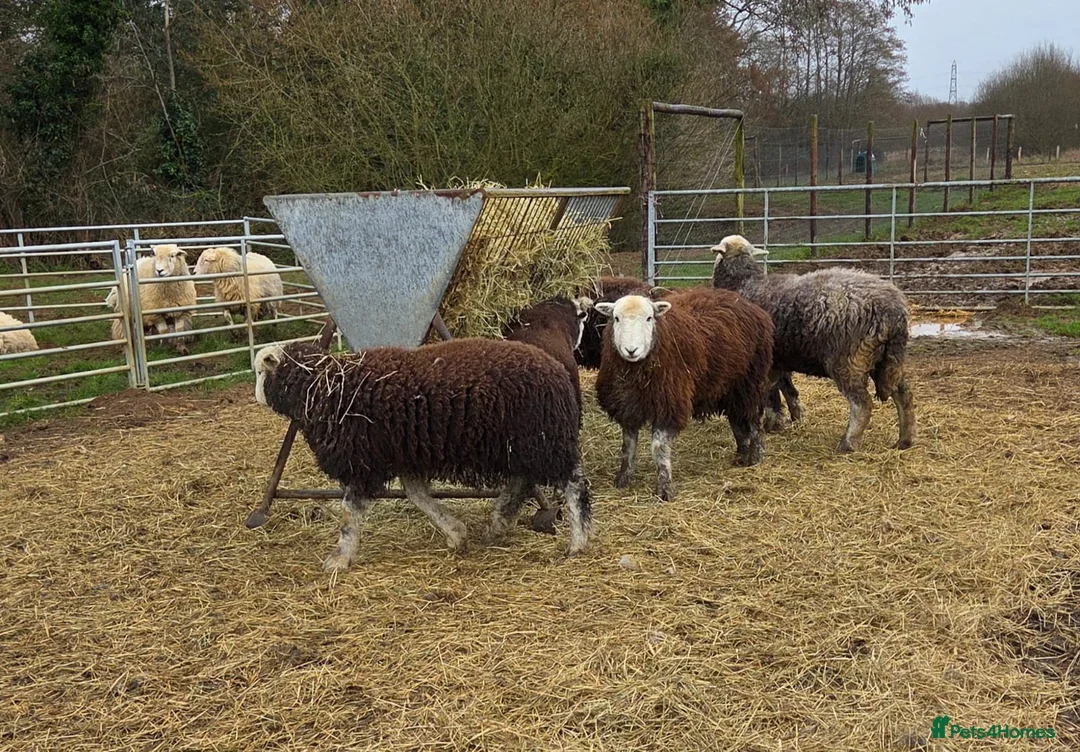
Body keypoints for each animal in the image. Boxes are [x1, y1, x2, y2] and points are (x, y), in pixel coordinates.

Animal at [254, 338, 592, 571]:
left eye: (259, 371)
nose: (256, 397)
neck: (327, 387)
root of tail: (558, 371)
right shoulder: (402, 455)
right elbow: (417, 496)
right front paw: (456, 533)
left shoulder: (364, 462)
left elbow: (350, 513)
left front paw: (340, 558)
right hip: (523, 444)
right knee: (521, 481)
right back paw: (498, 522)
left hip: (545, 440)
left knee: (574, 487)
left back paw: (578, 542)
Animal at [593, 287, 774, 502]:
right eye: (616, 318)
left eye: (649, 318)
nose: (631, 350)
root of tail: (750, 305)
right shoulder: (628, 406)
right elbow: (627, 446)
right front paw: (623, 478)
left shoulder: (669, 404)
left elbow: (659, 448)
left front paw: (664, 489)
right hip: (729, 387)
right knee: (737, 421)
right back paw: (741, 455)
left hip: (750, 382)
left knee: (754, 420)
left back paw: (756, 456)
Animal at [711, 234, 915, 453]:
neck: (744, 283)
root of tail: (895, 311)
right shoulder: (779, 360)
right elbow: (786, 389)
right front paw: (793, 418)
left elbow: (771, 394)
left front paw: (773, 423)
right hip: (884, 359)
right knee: (903, 394)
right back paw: (904, 440)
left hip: (849, 360)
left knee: (863, 404)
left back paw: (848, 444)